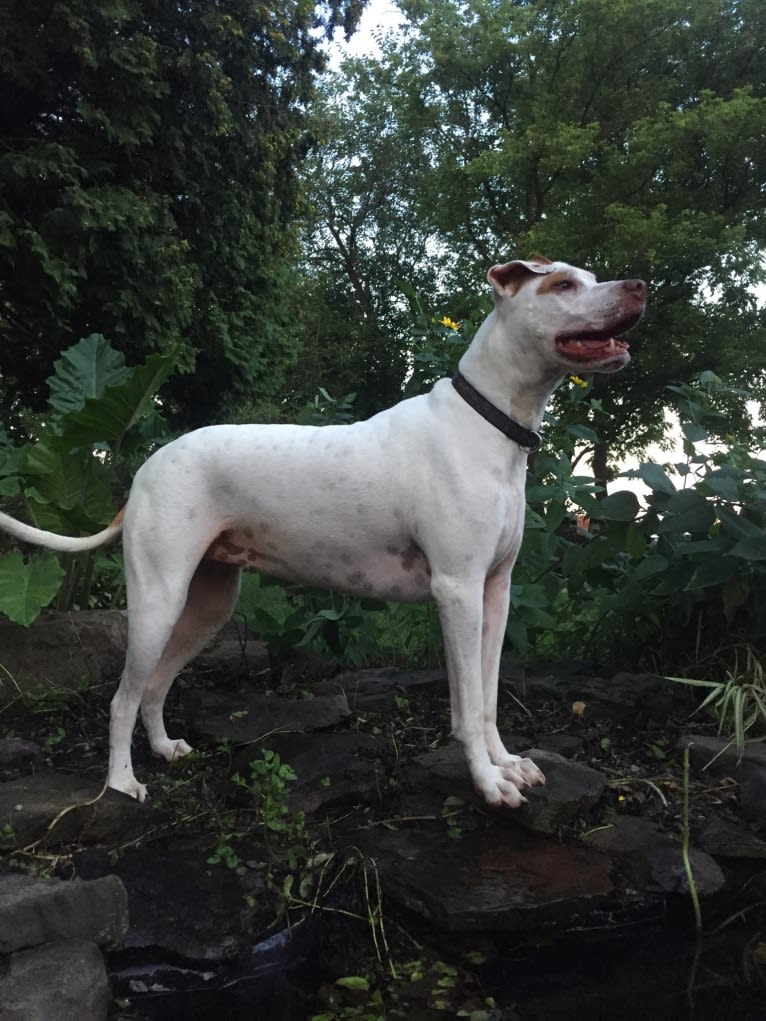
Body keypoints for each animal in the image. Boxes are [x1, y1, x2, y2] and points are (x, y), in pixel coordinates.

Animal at [0, 259, 649, 808]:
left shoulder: (496, 592)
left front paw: (505, 762)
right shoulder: (458, 592)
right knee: (122, 697)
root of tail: (144, 470)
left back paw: (163, 750)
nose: (641, 286)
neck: (488, 423)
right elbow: (467, 707)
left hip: (207, 605)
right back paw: (121, 783)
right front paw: (487, 784)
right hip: (158, 601)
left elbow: (487, 700)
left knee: (154, 686)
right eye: (562, 284)